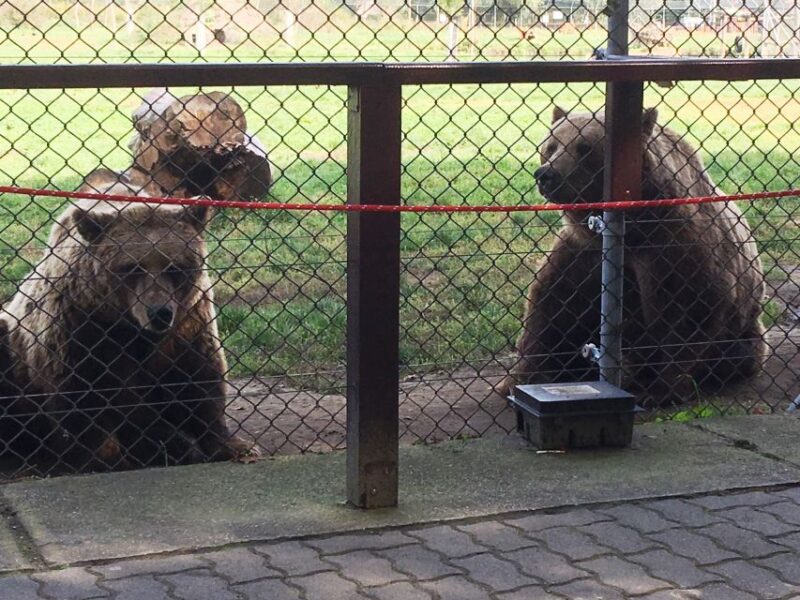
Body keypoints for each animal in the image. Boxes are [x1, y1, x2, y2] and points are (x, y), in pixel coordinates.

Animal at [1, 197, 255, 471]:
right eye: (133, 268)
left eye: (174, 267)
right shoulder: (82, 326)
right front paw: (110, 456)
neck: (129, 324)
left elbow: (199, 376)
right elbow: (84, 399)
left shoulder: (187, 320)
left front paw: (234, 445)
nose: (159, 312)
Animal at [498, 106, 766, 404]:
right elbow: (552, 307)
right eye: (551, 145)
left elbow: (686, 312)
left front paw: (658, 391)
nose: (546, 174)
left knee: (738, 353)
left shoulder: (672, 251)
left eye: (584, 147)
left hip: (744, 331)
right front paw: (515, 380)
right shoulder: (582, 251)